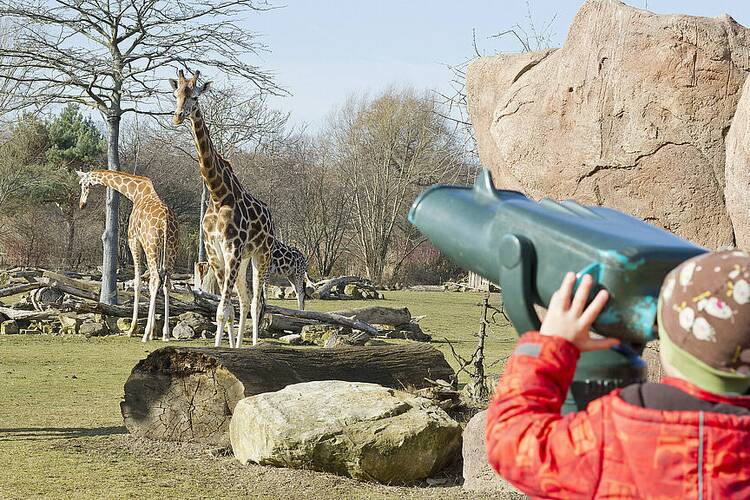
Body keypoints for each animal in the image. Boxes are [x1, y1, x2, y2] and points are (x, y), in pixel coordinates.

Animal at [77, 170, 180, 342]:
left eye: (83, 184)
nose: (82, 204)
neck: (135, 194)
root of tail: (166, 222)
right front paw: (154, 332)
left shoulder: (134, 240)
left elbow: (138, 281)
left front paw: (133, 329)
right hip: (172, 249)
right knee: (165, 282)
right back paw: (165, 334)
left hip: (151, 246)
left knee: (155, 279)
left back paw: (145, 335)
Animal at [171, 70, 276, 348]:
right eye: (175, 93)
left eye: (195, 96)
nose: (177, 116)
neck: (218, 194)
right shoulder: (214, 251)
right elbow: (225, 310)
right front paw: (223, 349)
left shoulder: (232, 249)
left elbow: (223, 309)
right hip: (243, 260)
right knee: (243, 299)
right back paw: (238, 345)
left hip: (261, 255)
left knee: (255, 303)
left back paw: (253, 345)